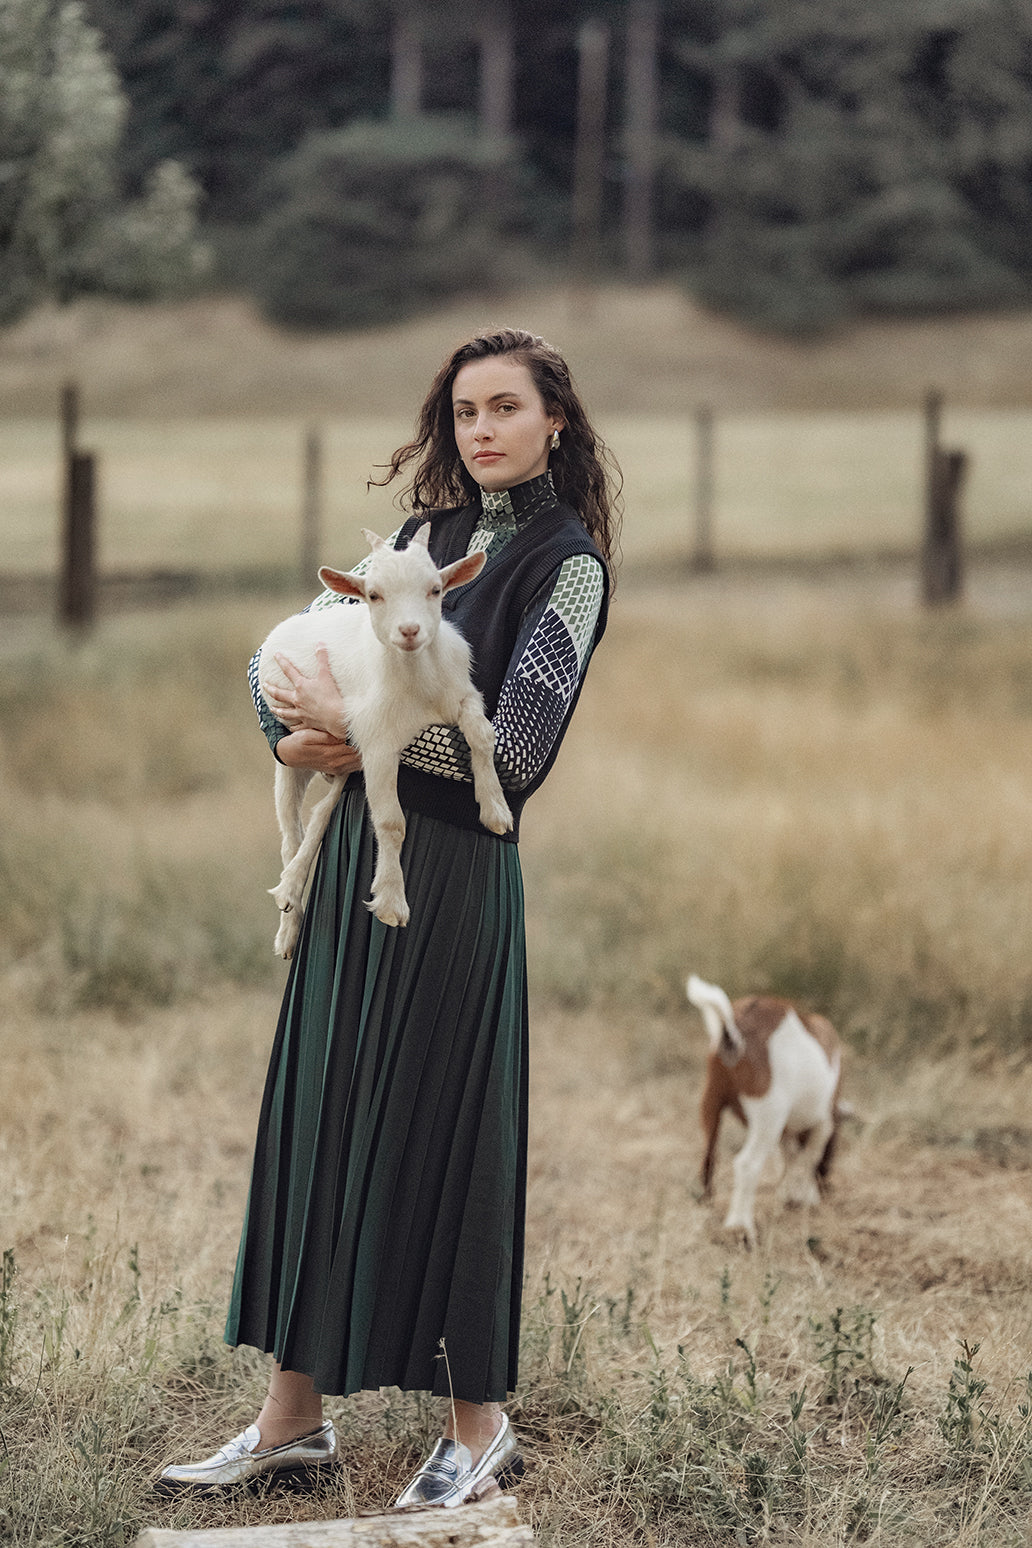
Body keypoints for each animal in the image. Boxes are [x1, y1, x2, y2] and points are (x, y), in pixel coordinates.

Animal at [256, 523, 513, 953]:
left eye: (435, 589)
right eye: (374, 594)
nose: (409, 631)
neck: (420, 684)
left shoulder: (462, 695)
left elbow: (483, 734)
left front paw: (496, 809)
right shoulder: (377, 740)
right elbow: (391, 822)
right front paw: (392, 901)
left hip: (342, 760)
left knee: (322, 811)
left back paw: (292, 888)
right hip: (295, 749)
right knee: (291, 834)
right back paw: (288, 920)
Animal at [686, 972, 841, 1250]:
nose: (826, 1188)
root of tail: (733, 1032)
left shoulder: (787, 1131)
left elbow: (790, 1155)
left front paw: (789, 1194)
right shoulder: (825, 1120)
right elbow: (809, 1155)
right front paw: (806, 1197)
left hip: (711, 1099)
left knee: (708, 1161)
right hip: (768, 1112)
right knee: (747, 1163)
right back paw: (740, 1227)